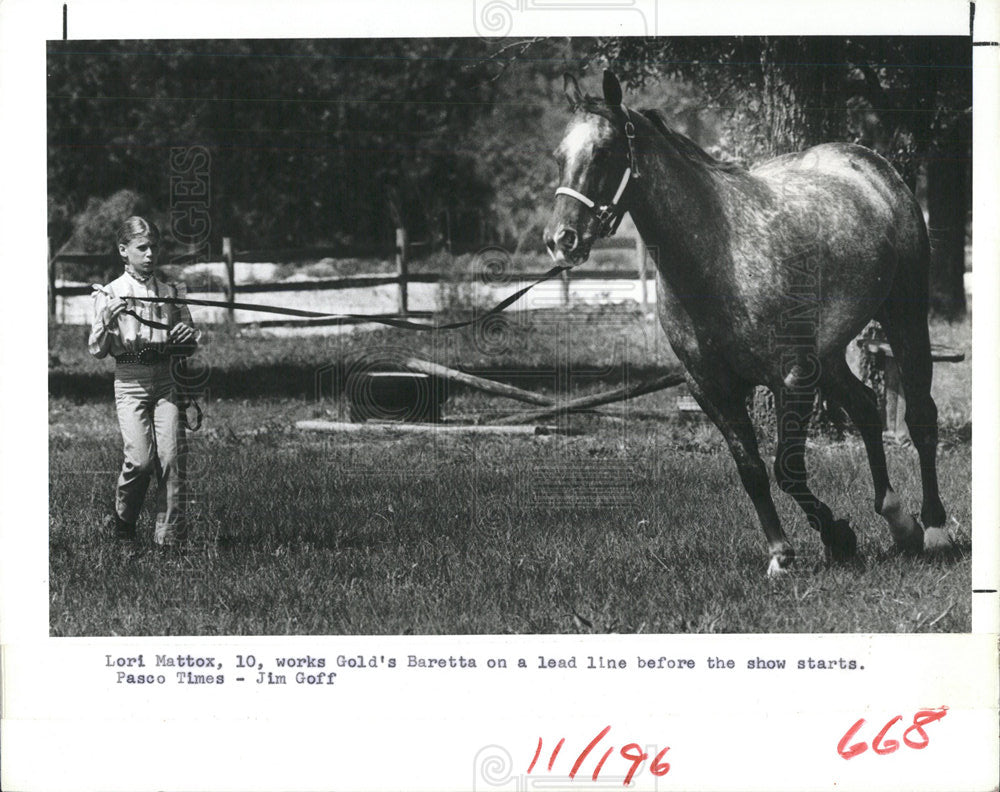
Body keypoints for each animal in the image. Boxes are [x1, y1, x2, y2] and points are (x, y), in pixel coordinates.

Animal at [544, 69, 948, 576]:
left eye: (603, 151)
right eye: (559, 156)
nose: (561, 240)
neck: (719, 256)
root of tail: (873, 168)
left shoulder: (791, 377)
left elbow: (786, 469)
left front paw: (836, 534)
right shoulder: (710, 386)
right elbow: (751, 470)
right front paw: (784, 552)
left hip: (903, 316)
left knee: (920, 416)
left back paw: (934, 528)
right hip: (828, 354)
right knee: (865, 408)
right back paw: (898, 520)